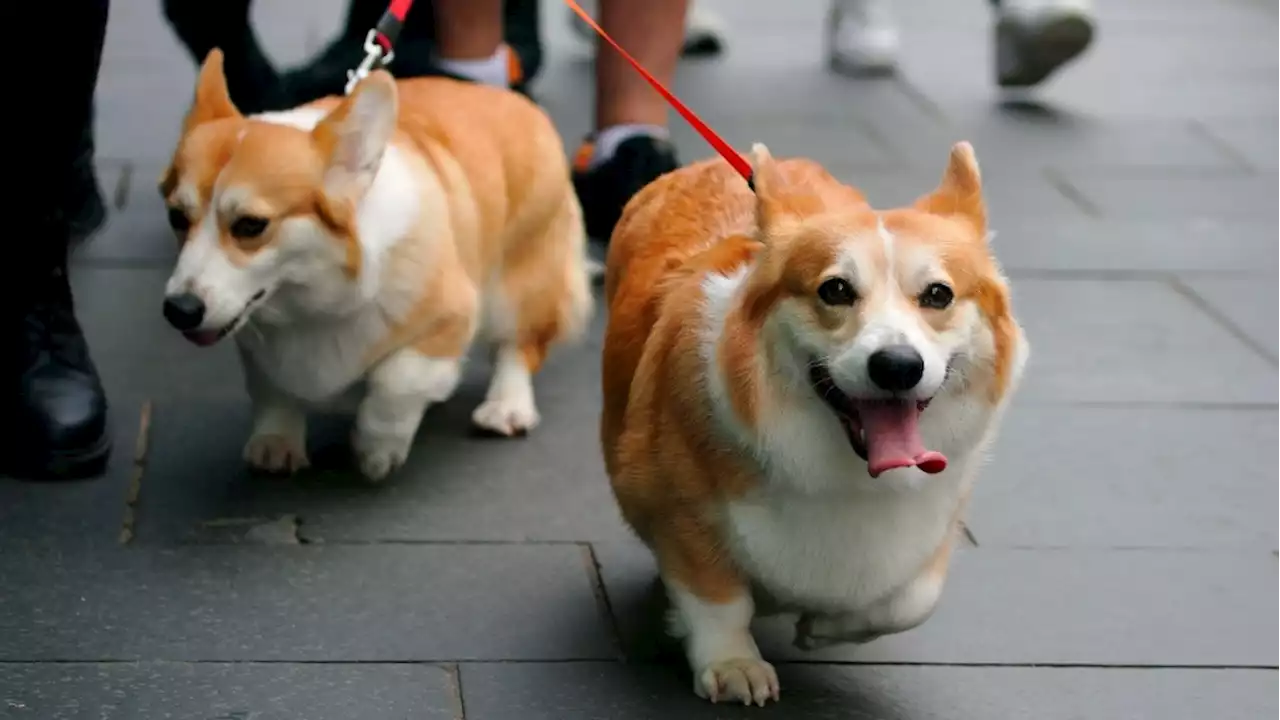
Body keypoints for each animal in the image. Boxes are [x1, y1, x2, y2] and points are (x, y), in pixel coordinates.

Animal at [158, 51, 588, 481]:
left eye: (250, 225)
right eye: (176, 217)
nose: (179, 310)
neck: (310, 302)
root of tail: (517, 102)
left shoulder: (451, 314)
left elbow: (398, 379)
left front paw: (377, 449)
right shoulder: (257, 344)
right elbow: (271, 389)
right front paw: (275, 442)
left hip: (518, 284)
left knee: (519, 345)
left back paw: (506, 407)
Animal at [599, 142, 1029, 702]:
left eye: (938, 295)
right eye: (836, 290)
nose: (897, 366)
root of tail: (703, 167)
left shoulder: (936, 520)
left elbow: (911, 601)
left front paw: (823, 627)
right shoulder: (676, 505)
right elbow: (718, 599)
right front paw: (732, 664)